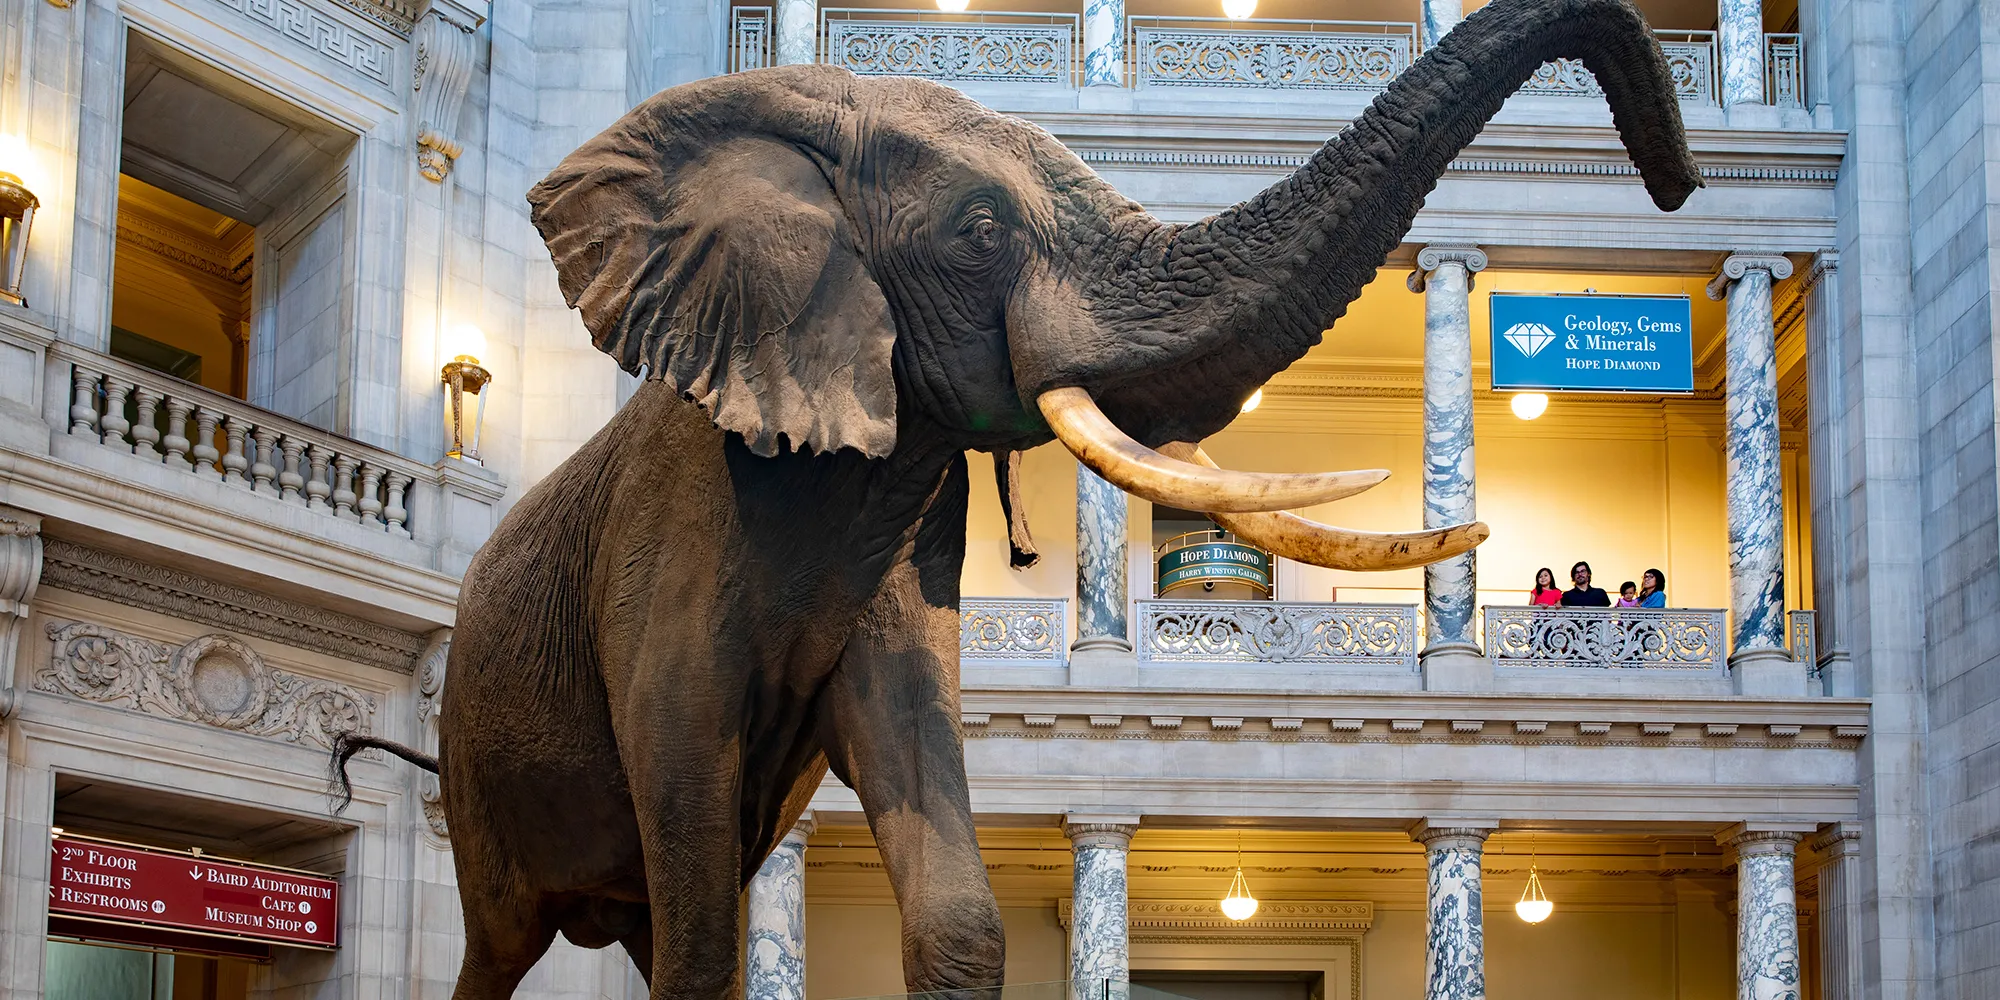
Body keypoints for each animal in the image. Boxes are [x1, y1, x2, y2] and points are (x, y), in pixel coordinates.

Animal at [332, 1, 1704, 1000]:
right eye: (979, 232)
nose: (1675, 174)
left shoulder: (901, 518)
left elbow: (928, 813)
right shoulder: (679, 519)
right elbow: (699, 871)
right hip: (480, 770)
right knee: (507, 945)